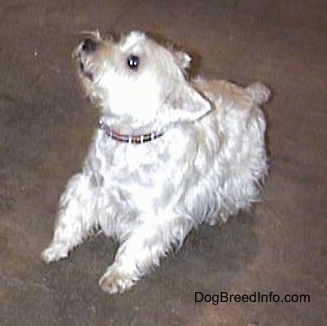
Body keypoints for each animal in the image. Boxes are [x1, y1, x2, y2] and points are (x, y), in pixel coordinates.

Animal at [41, 30, 272, 294]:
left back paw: (221, 211)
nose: (88, 42)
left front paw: (116, 276)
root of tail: (250, 95)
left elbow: (134, 246)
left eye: (133, 61)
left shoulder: (155, 216)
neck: (130, 141)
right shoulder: (88, 184)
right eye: (121, 40)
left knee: (240, 194)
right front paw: (56, 248)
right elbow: (71, 217)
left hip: (240, 170)